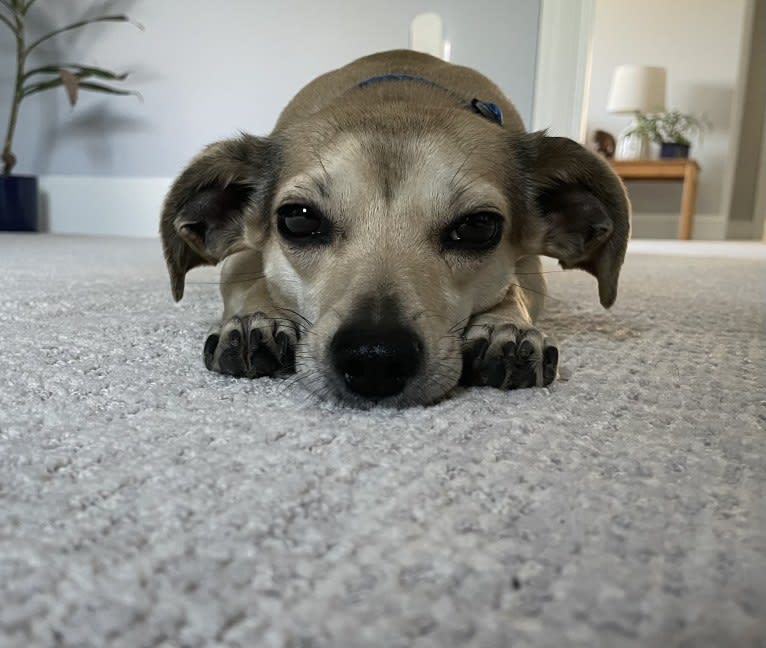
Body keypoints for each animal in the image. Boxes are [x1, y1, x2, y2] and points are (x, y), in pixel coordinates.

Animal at [160, 50, 632, 404]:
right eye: (298, 218)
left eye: (479, 226)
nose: (375, 357)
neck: (398, 95)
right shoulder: (243, 254)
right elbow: (252, 282)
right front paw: (255, 319)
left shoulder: (530, 269)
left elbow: (512, 288)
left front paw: (504, 326)